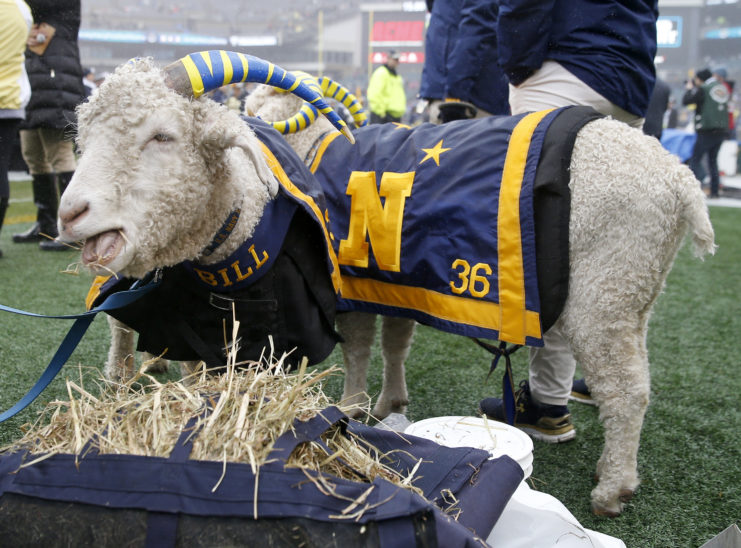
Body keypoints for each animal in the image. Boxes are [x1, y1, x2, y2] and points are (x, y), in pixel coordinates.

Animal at [60, 53, 712, 516]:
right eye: (82, 138)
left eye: (162, 136)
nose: (70, 214)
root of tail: (680, 182)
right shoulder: (384, 282)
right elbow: (392, 341)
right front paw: (387, 402)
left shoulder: (346, 284)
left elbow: (356, 346)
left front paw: (353, 405)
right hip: (635, 291)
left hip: (606, 290)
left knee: (627, 391)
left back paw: (613, 488)